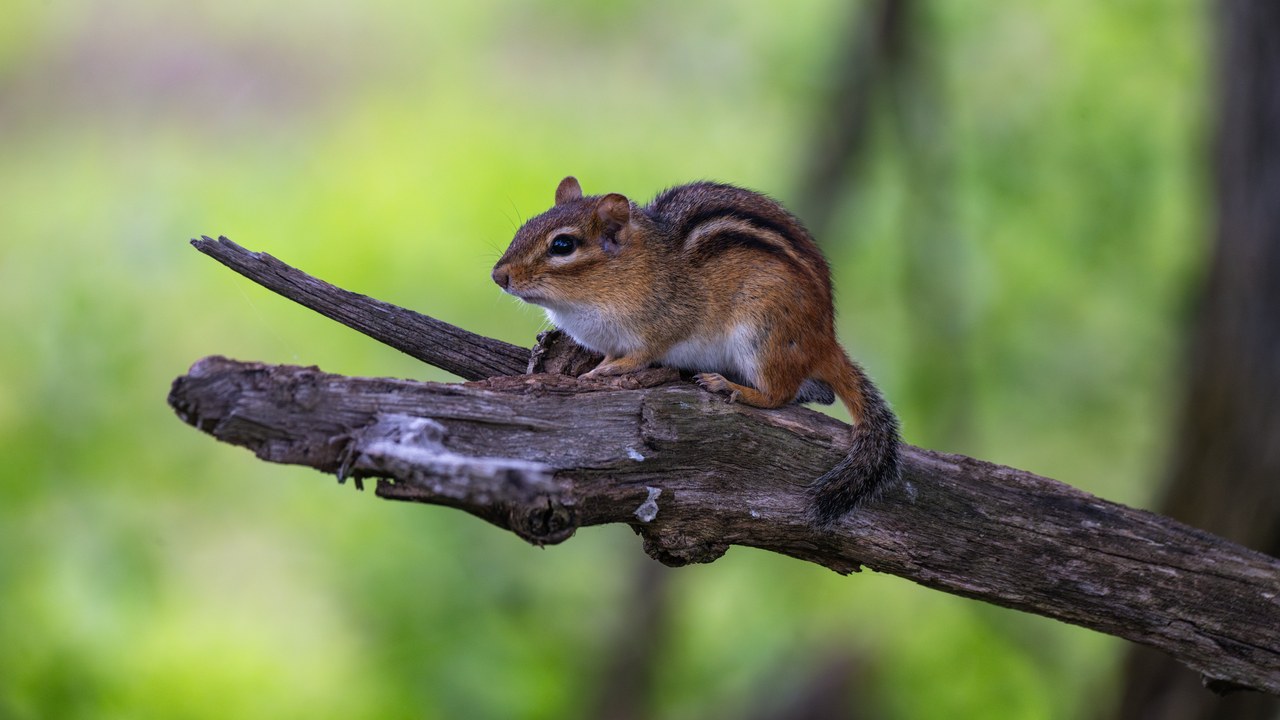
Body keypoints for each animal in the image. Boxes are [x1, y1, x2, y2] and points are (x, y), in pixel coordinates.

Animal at [491, 176, 901, 525]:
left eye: (562, 245)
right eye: (525, 227)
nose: (498, 276)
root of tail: (826, 339)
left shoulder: (669, 322)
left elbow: (642, 354)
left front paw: (611, 369)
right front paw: (604, 363)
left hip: (761, 333)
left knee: (779, 393)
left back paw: (734, 388)